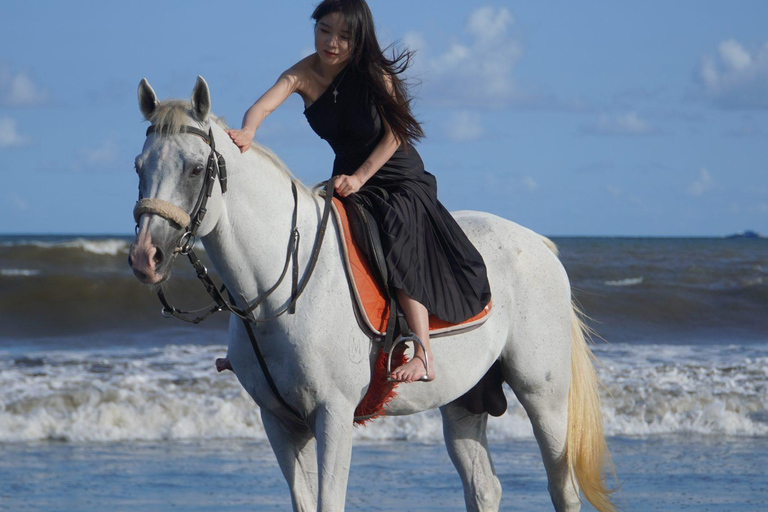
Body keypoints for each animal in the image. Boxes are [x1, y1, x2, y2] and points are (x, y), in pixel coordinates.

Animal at [128, 76, 615, 512]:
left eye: (195, 169)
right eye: (139, 167)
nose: (145, 257)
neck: (279, 291)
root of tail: (540, 245)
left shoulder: (334, 415)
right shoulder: (280, 422)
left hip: (544, 396)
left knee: (562, 489)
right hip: (463, 401)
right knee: (484, 490)